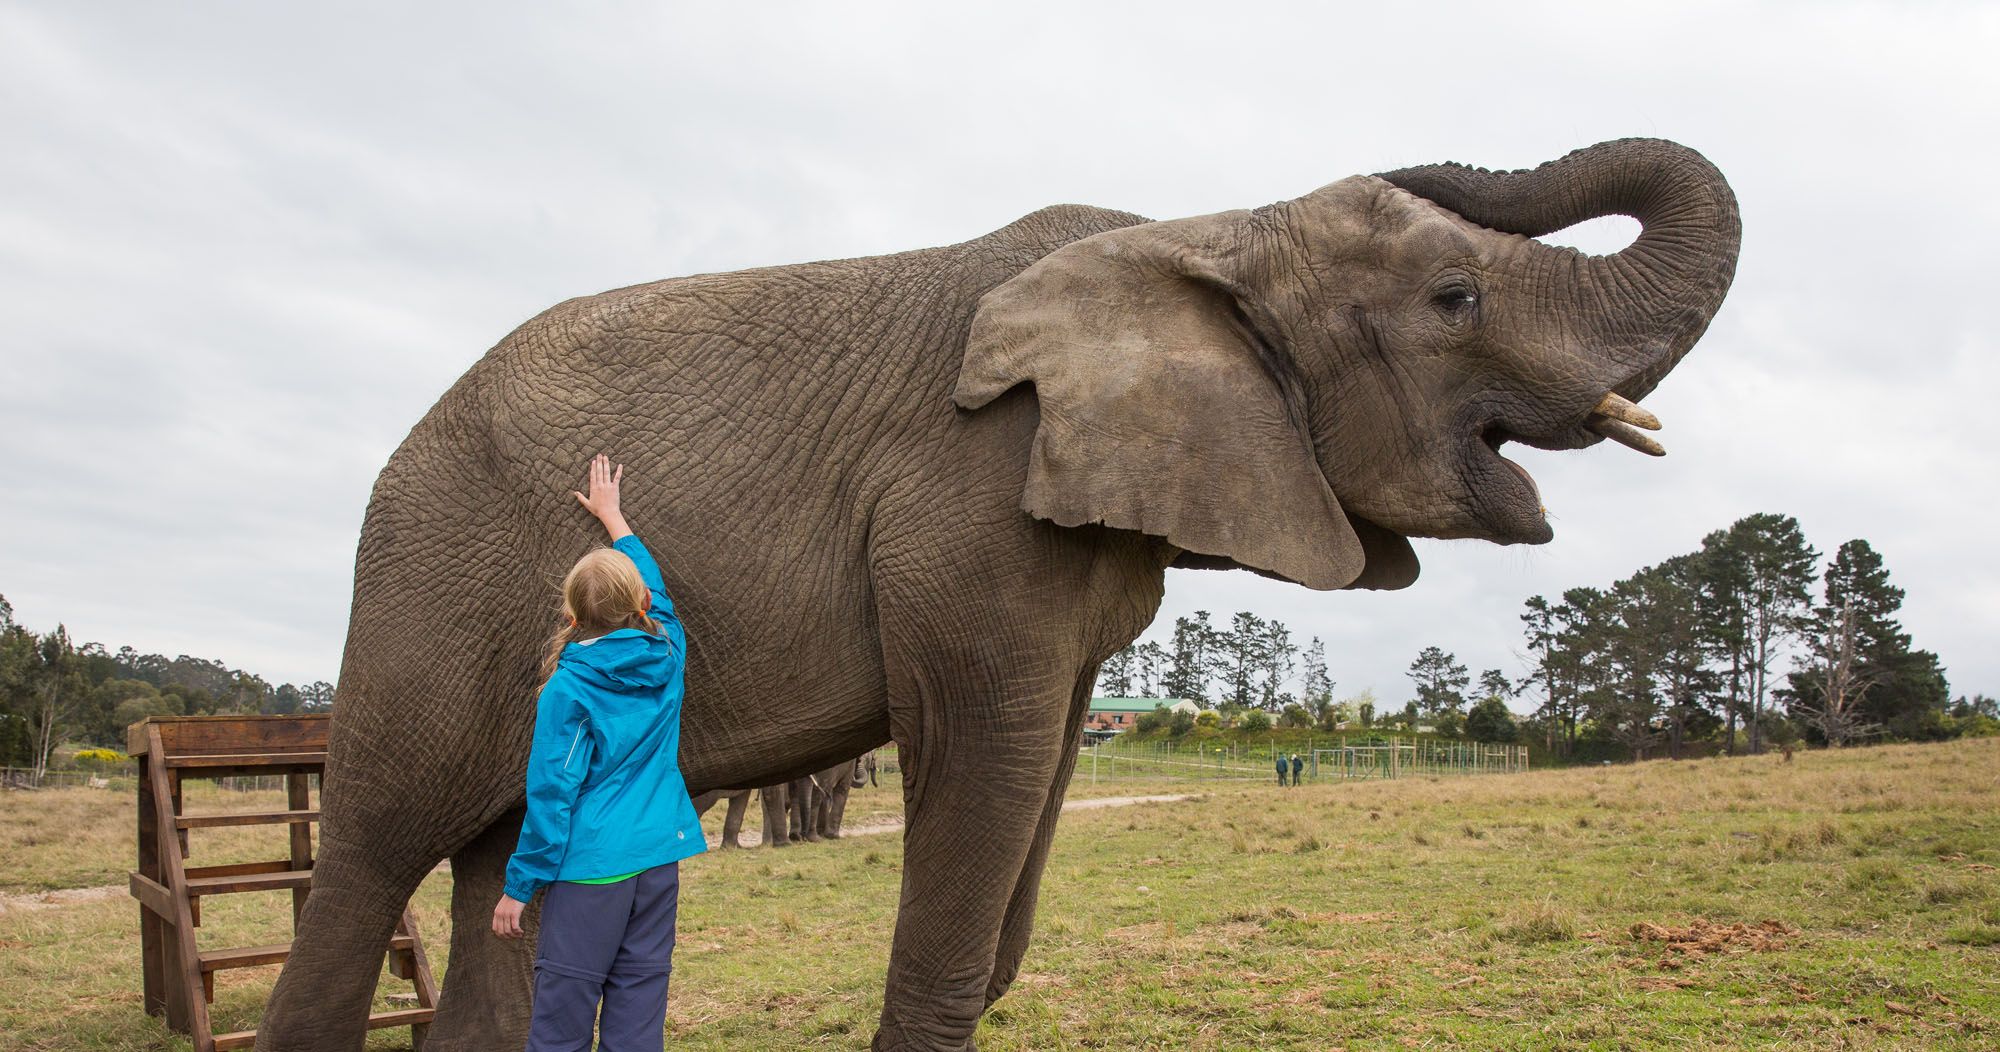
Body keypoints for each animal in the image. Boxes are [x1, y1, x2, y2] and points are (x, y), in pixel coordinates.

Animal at [262, 142, 1736, 1052]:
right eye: (1454, 294)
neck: (1201, 236)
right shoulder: (969, 509)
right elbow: (978, 771)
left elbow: (1032, 802)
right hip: (426, 587)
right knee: (375, 855)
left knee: (498, 863)